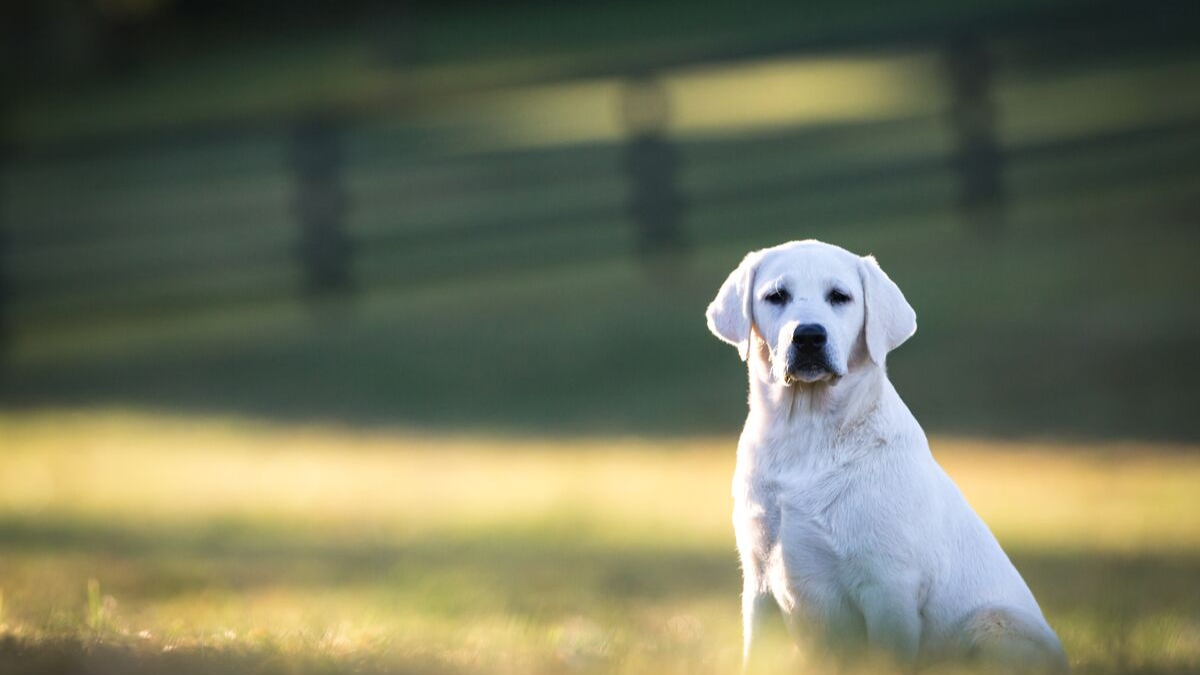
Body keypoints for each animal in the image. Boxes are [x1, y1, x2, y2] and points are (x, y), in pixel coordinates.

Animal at [705, 239, 1065, 667]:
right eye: (776, 296)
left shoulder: (888, 589)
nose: (808, 337)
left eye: (839, 296)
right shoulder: (759, 582)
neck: (807, 435)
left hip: (999, 622)